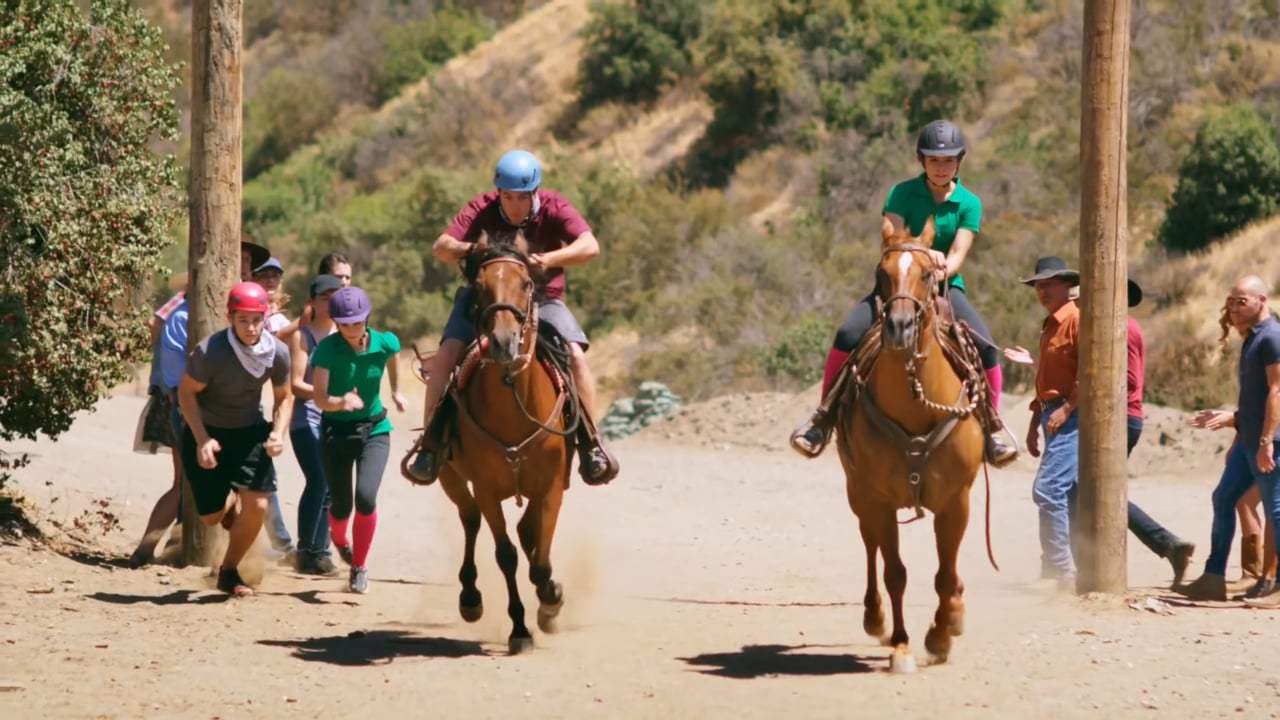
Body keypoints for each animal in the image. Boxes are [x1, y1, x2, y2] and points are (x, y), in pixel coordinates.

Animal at [435, 228, 576, 650]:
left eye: (527, 282)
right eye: (480, 287)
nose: (503, 341)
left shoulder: (551, 486)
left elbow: (540, 556)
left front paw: (550, 600)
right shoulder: (486, 488)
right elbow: (506, 555)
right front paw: (520, 628)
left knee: (527, 532)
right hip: (450, 477)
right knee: (469, 519)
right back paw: (470, 598)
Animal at [839, 215, 988, 671]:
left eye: (927, 274)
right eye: (881, 274)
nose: (900, 328)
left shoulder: (956, 500)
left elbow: (945, 573)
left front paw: (942, 631)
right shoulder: (880, 501)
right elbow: (895, 573)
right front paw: (903, 645)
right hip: (859, 495)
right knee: (870, 548)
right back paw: (875, 618)